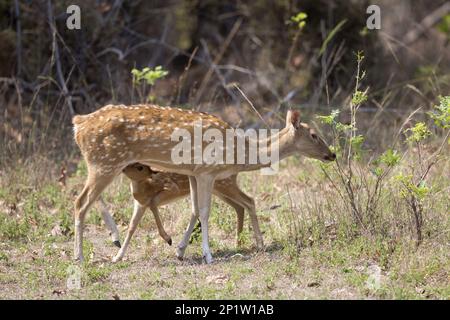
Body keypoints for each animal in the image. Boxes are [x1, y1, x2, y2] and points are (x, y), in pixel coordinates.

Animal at [110, 162, 260, 262]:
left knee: (249, 201)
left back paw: (259, 244)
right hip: (219, 188)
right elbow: (132, 227)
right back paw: (238, 243)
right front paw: (117, 257)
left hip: (223, 184)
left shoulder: (168, 191)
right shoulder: (139, 203)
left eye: (139, 167)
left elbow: (152, 205)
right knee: (239, 206)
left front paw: (168, 238)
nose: (122, 168)